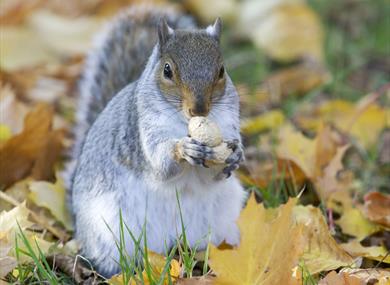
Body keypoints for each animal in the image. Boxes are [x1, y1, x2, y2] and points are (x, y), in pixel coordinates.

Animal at [66, 3, 245, 276]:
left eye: (222, 71)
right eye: (167, 70)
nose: (199, 110)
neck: (183, 124)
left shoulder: (227, 124)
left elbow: (213, 175)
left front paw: (234, 157)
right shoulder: (144, 132)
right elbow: (161, 165)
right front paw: (182, 149)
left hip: (221, 221)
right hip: (109, 232)